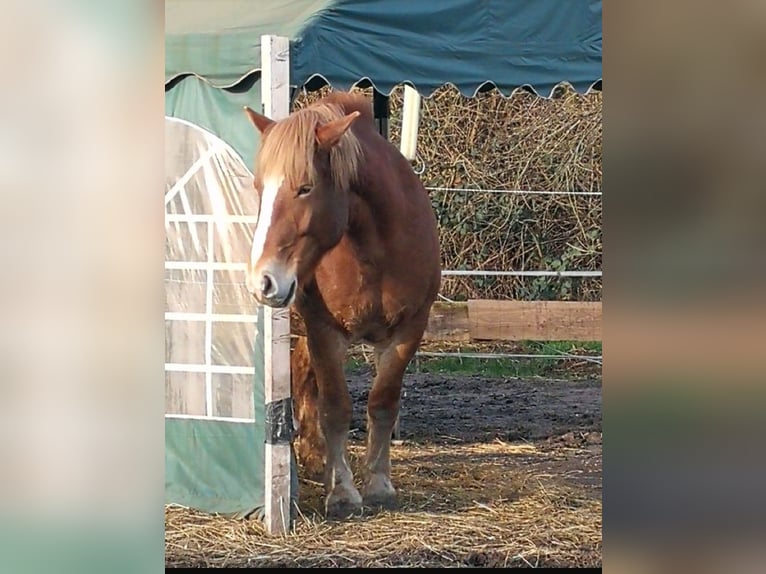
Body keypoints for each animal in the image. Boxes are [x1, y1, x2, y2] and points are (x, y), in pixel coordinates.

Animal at [243, 92, 440, 520]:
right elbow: (335, 406)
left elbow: (382, 402)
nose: (262, 281)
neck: (375, 252)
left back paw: (315, 458)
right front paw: (343, 491)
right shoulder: (324, 332)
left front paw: (379, 485)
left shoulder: (409, 329)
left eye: (305, 187)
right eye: (259, 186)